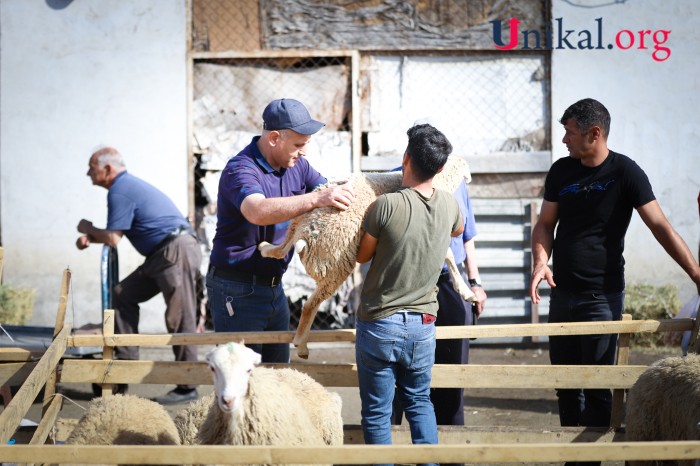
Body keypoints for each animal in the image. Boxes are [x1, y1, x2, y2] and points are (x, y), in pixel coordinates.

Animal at [258, 156, 476, 356]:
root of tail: (305, 233)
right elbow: (449, 254)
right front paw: (467, 292)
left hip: (297, 223)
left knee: (281, 249)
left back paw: (264, 247)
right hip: (334, 265)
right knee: (310, 305)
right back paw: (301, 346)